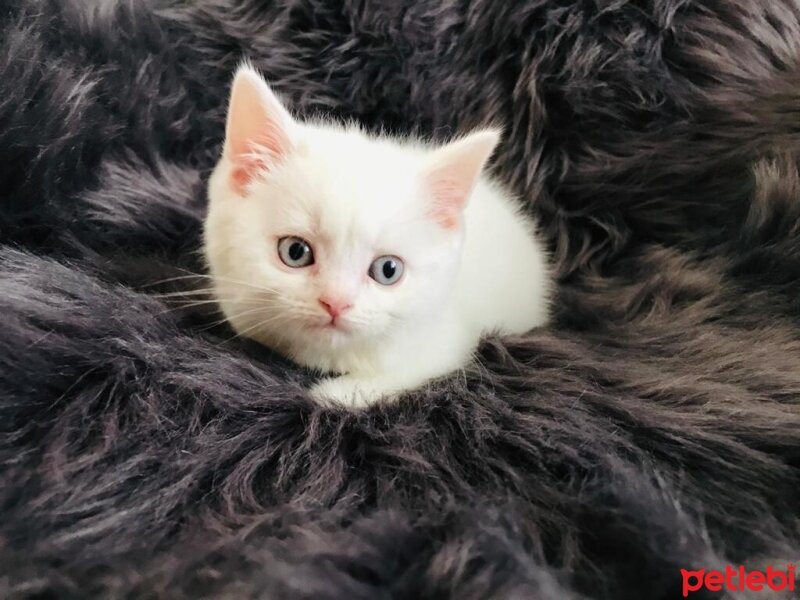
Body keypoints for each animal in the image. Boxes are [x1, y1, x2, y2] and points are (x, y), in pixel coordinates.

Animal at [203, 65, 552, 408]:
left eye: (388, 270)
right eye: (295, 252)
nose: (336, 303)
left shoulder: (450, 341)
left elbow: (410, 370)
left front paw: (333, 394)